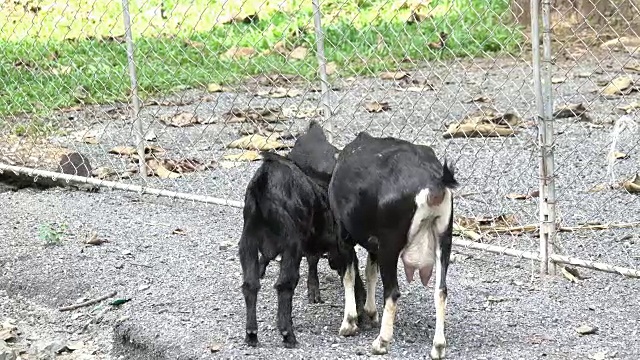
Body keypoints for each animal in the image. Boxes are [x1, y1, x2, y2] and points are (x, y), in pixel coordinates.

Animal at [240, 121, 360, 348]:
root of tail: (263, 183)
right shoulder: (338, 246)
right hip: (290, 245)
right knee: (284, 284)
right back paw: (288, 334)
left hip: (248, 243)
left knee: (250, 284)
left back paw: (251, 333)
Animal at [328, 131, 458, 358]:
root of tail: (434, 183)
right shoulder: (374, 243)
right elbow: (370, 271)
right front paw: (371, 312)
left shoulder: (343, 233)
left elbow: (349, 275)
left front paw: (349, 323)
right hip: (444, 238)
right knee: (441, 290)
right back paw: (438, 347)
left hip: (391, 245)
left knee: (393, 292)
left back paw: (381, 342)